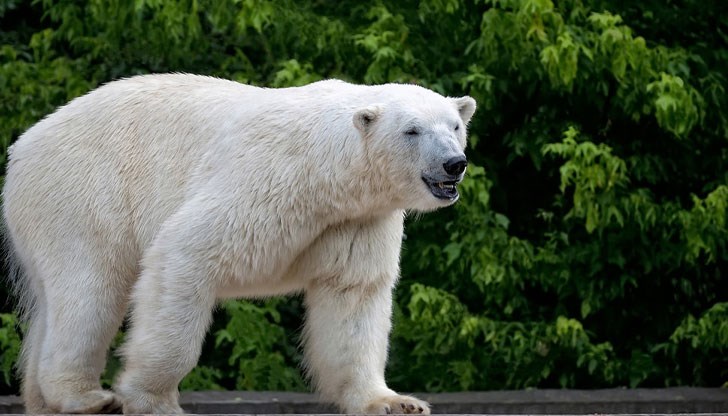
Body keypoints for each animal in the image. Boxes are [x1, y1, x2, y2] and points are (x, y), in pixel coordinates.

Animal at [1, 73, 478, 414]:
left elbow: (352, 296)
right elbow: (185, 251)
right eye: (412, 131)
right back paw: (84, 398)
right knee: (90, 290)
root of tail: (24, 146)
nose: (453, 164)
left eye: (455, 125)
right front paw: (154, 401)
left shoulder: (355, 220)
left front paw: (394, 402)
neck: (329, 174)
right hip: (84, 193)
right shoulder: (266, 181)